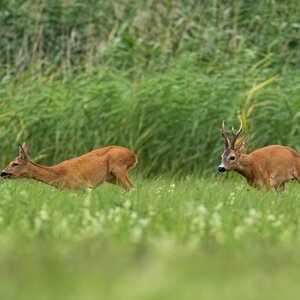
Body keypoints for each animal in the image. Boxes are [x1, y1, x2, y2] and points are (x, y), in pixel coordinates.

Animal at [0, 143, 137, 190]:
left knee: (132, 188)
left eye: (15, 164)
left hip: (119, 167)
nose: (2, 172)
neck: (58, 174)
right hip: (111, 177)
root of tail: (134, 155)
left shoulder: (85, 186)